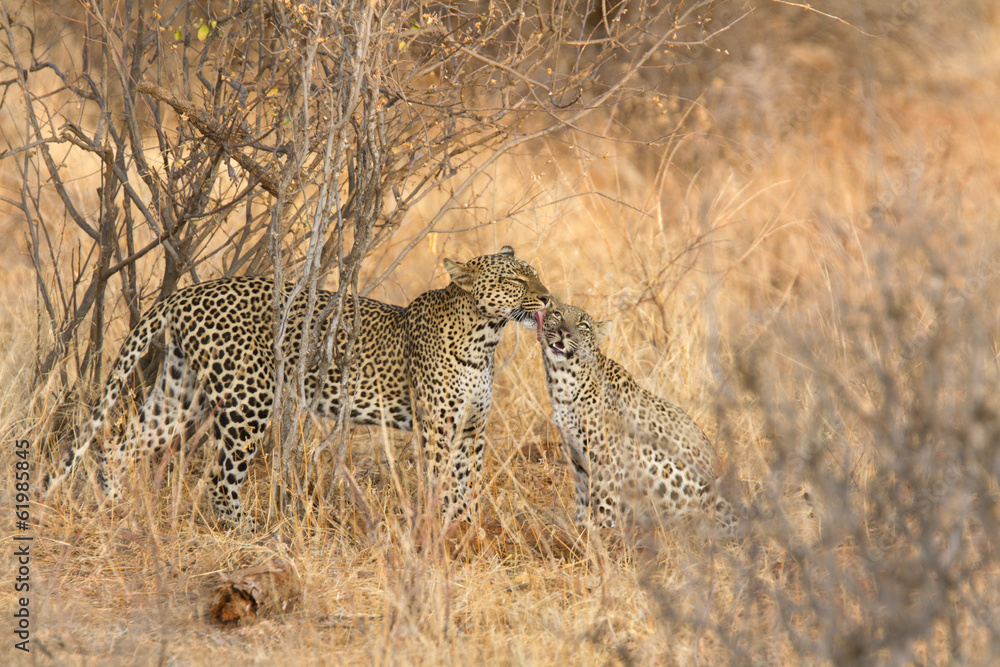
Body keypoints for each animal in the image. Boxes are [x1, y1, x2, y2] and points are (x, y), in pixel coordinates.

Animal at [44, 246, 549, 529]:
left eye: (535, 273)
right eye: (513, 279)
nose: (546, 297)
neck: (484, 336)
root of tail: (187, 292)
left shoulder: (472, 431)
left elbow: (468, 484)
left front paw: (467, 529)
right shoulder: (438, 430)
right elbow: (443, 483)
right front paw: (446, 532)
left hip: (180, 393)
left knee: (118, 447)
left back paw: (116, 511)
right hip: (248, 398)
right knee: (219, 478)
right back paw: (252, 532)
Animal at [538, 299, 737, 532]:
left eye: (582, 326)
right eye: (558, 315)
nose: (564, 332)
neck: (562, 383)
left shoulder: (606, 458)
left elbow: (603, 500)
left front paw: (603, 530)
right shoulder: (576, 458)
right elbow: (582, 498)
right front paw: (580, 529)